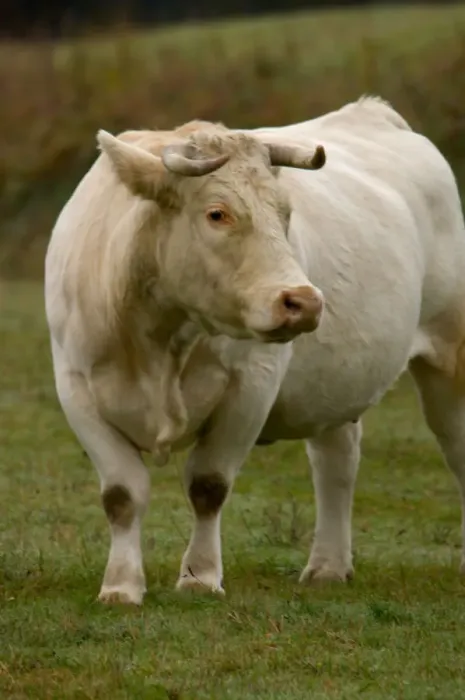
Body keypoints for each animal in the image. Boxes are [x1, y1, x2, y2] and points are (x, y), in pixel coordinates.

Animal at [45, 96, 465, 605]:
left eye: (285, 213)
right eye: (217, 213)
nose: (304, 301)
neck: (158, 337)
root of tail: (375, 112)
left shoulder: (250, 387)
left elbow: (208, 484)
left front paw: (200, 576)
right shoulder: (76, 386)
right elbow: (122, 494)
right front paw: (121, 586)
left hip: (451, 352)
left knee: (456, 445)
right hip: (334, 386)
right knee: (336, 462)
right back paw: (327, 566)